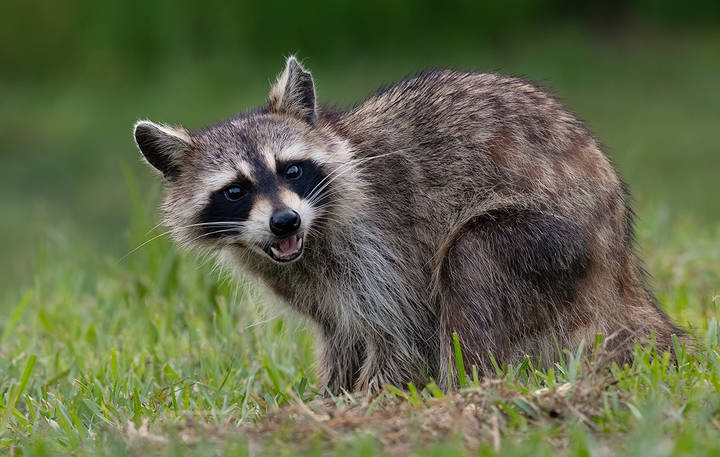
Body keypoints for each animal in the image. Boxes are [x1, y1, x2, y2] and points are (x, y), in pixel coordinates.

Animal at [133, 56, 684, 393]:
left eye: (291, 170)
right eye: (235, 191)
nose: (284, 221)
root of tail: (621, 268)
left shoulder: (380, 238)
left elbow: (404, 332)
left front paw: (371, 402)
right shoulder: (306, 278)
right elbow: (341, 335)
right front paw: (330, 397)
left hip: (557, 243)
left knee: (471, 260)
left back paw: (469, 388)